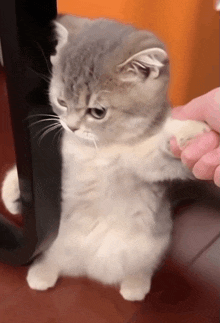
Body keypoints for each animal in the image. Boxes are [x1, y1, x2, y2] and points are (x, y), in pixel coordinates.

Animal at [0, 16, 209, 302]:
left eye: (97, 112)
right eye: (61, 101)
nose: (71, 126)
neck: (96, 149)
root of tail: (90, 269)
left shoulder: (146, 165)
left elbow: (159, 153)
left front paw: (190, 130)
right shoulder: (61, 161)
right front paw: (13, 191)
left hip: (151, 245)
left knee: (145, 265)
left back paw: (135, 283)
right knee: (55, 259)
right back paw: (42, 272)